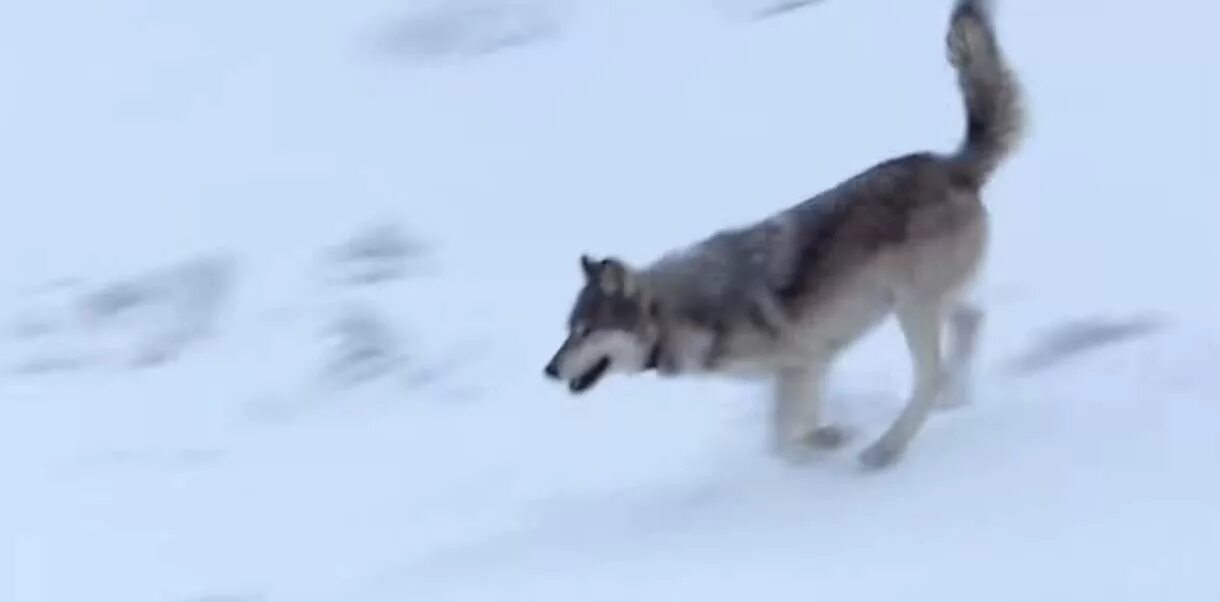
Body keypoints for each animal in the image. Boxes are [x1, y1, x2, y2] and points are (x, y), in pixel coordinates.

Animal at [541, 0, 1019, 468]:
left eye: (586, 330)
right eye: (569, 329)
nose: (549, 370)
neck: (684, 311)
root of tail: (951, 164)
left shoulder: (806, 362)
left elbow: (790, 438)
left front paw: (832, 438)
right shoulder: (795, 372)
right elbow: (781, 441)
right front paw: (819, 444)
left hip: (912, 308)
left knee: (932, 373)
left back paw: (886, 449)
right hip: (924, 301)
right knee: (971, 324)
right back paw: (952, 402)